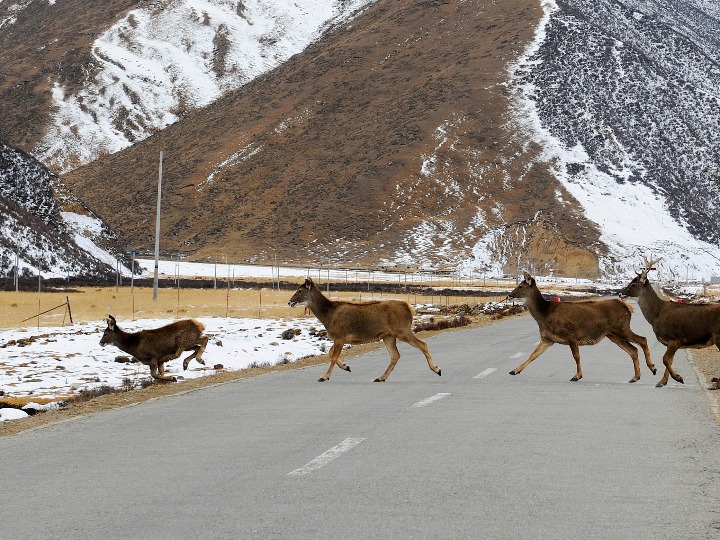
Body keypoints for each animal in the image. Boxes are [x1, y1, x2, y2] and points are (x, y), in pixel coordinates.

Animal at [286, 276, 438, 382]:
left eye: (299, 290)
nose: (289, 302)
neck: (327, 315)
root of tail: (409, 308)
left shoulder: (340, 335)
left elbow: (333, 356)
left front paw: (324, 376)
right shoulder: (338, 338)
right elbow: (330, 354)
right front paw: (346, 367)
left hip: (402, 330)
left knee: (422, 344)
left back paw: (437, 369)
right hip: (388, 335)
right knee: (395, 355)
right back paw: (381, 377)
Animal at [620, 258, 720, 388]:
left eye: (633, 284)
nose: (620, 293)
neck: (656, 315)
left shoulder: (676, 338)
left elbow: (665, 359)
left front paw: (678, 378)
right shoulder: (670, 342)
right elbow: (669, 360)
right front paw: (662, 382)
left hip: (718, 336)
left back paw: (715, 385)